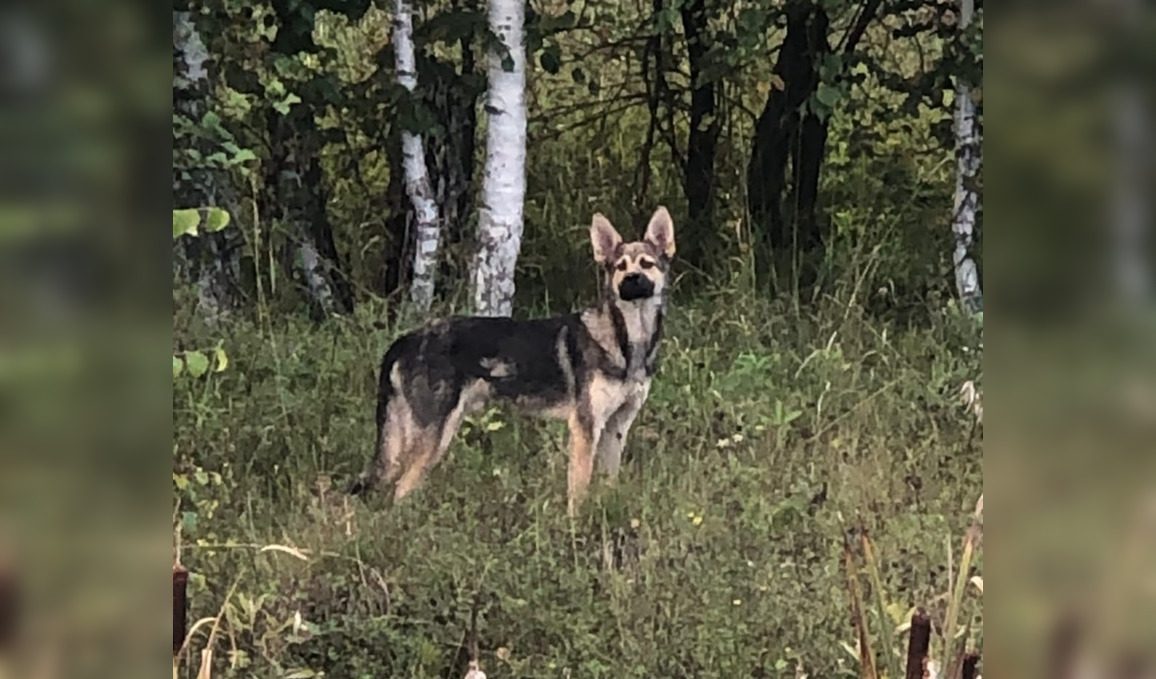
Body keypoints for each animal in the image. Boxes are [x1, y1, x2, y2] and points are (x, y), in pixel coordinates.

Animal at [349, 207, 675, 515]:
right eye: (620, 267)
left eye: (646, 264)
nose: (631, 280)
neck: (627, 341)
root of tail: (407, 339)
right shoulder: (585, 428)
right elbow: (578, 492)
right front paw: (576, 527)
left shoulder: (616, 427)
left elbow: (607, 485)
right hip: (434, 437)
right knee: (401, 489)